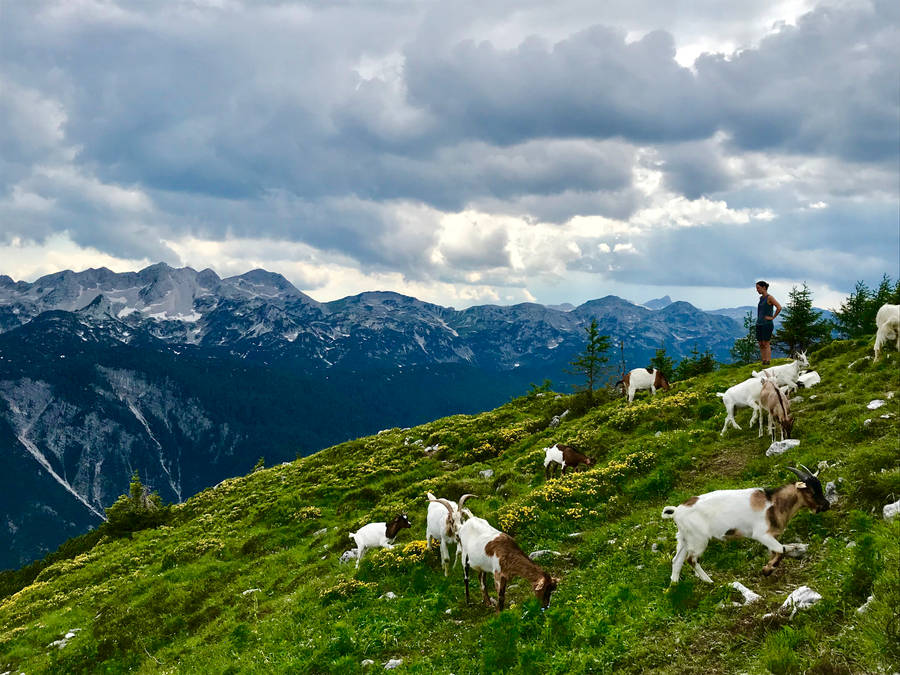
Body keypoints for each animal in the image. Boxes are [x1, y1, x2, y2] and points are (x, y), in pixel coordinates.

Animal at [661, 465, 830, 583]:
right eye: (812, 492)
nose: (826, 505)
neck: (774, 502)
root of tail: (677, 511)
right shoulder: (761, 535)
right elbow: (780, 550)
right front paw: (766, 570)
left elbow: (780, 550)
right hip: (698, 540)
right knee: (691, 559)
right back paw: (709, 581)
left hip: (684, 539)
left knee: (677, 560)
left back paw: (674, 586)